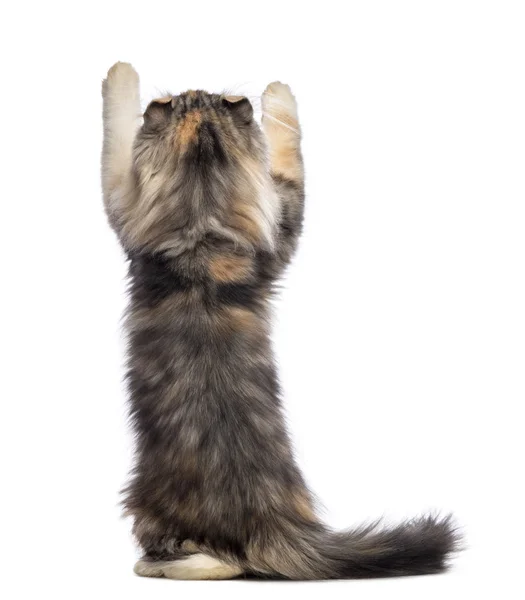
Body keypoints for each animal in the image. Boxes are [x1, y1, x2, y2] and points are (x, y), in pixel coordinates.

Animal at [100, 62, 456, 580]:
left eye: (197, 96)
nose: (195, 90)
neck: (204, 230)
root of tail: (273, 520)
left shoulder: (122, 201)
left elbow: (117, 127)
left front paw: (122, 73)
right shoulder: (281, 225)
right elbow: (291, 161)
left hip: (145, 501)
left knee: (222, 560)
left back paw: (158, 566)